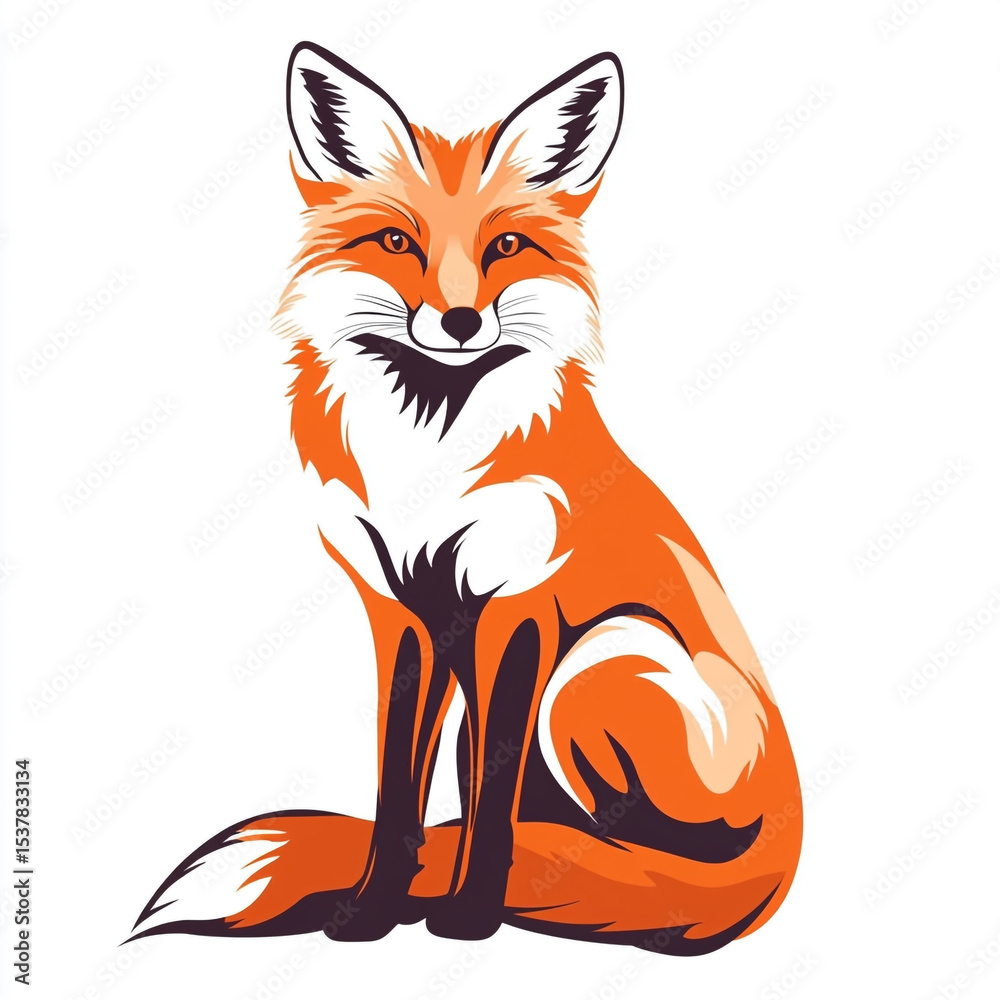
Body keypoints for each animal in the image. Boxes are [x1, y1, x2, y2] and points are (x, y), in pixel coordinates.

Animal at [131, 43, 801, 955]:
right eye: (396, 242)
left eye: (506, 246)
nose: (457, 321)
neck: (428, 457)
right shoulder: (404, 615)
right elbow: (397, 795)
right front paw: (372, 909)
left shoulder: (518, 607)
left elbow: (489, 804)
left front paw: (473, 911)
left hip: (599, 659)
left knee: (633, 856)